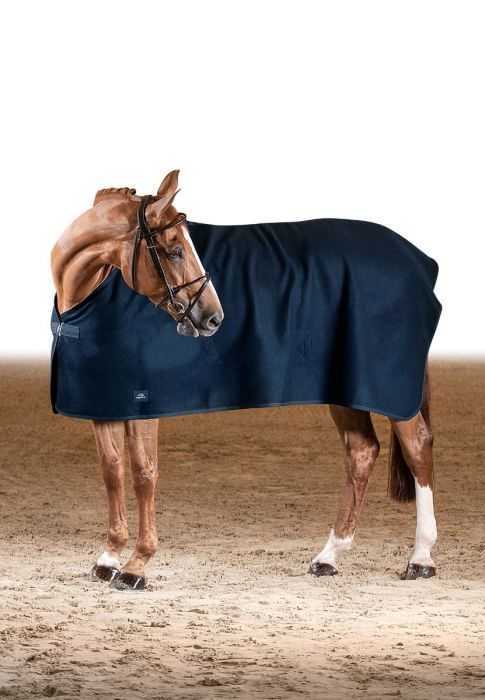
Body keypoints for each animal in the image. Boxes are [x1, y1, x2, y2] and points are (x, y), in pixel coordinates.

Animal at [50, 169, 439, 590]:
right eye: (174, 249)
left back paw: (421, 558)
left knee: (417, 446)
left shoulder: (142, 403)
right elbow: (111, 471)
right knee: (362, 451)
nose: (213, 317)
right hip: (344, 389)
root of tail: (420, 262)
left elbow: (143, 474)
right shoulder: (102, 401)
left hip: (390, 390)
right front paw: (108, 558)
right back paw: (329, 557)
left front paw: (136, 566)